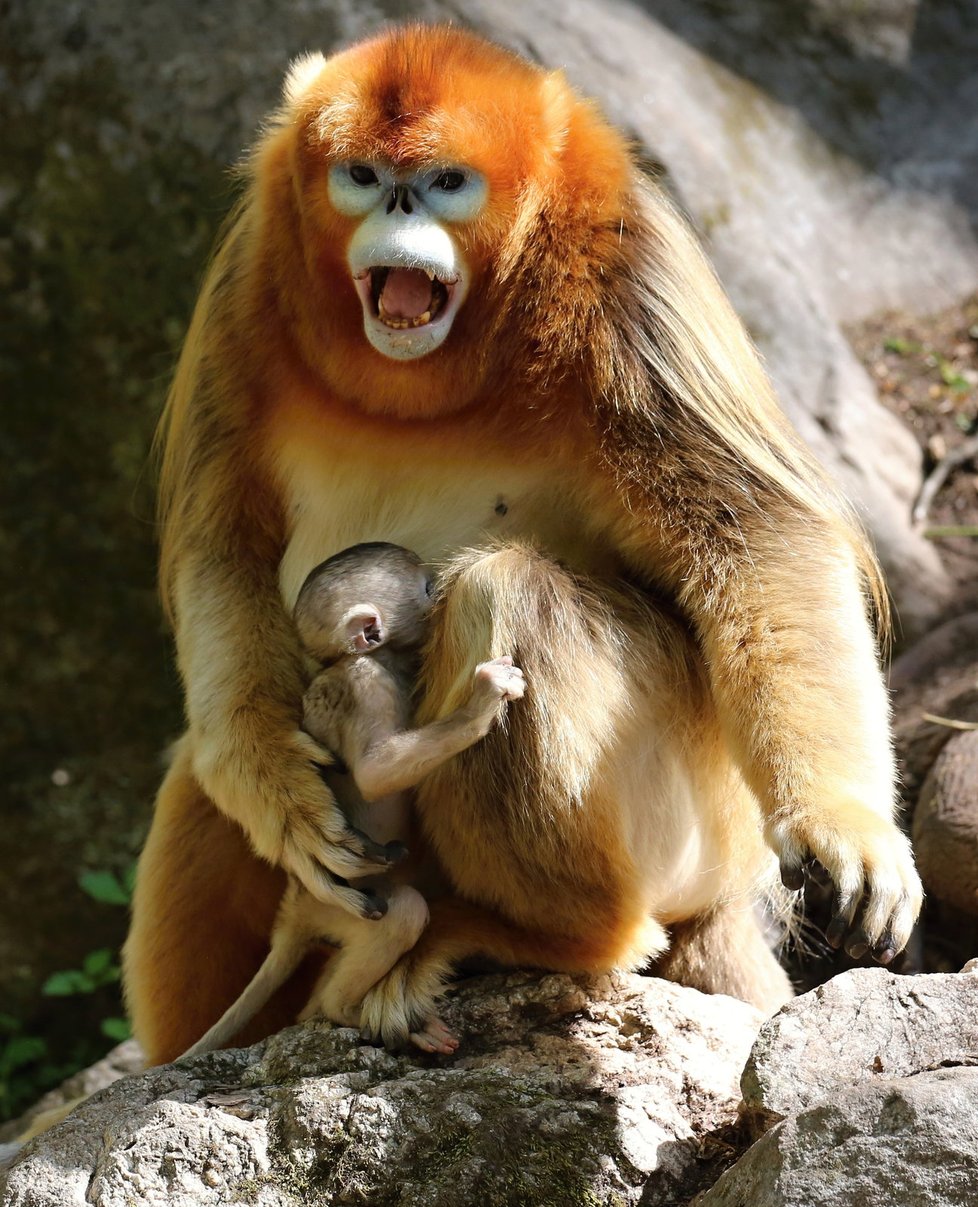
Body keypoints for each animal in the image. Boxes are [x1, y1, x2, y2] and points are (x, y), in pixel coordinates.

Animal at [178, 538, 521, 1057]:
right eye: (425, 587)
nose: (438, 587)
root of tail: (295, 908)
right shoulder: (365, 684)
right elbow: (375, 773)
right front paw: (480, 706)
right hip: (344, 907)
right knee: (403, 913)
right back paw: (346, 1009)